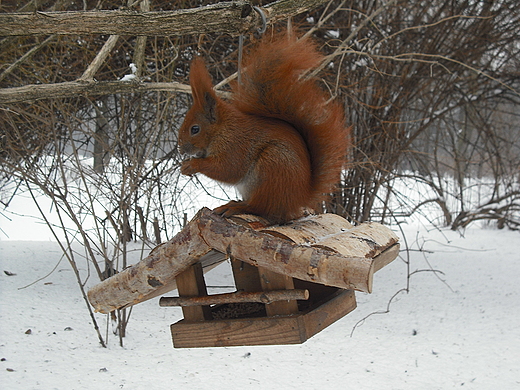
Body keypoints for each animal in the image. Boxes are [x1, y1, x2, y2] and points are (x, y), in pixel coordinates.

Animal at [179, 30, 350, 224]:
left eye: (195, 129)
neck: (222, 129)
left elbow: (227, 169)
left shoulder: (235, 146)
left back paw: (237, 207)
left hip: (273, 168)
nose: (180, 149)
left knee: (260, 208)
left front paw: (193, 165)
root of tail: (299, 199)